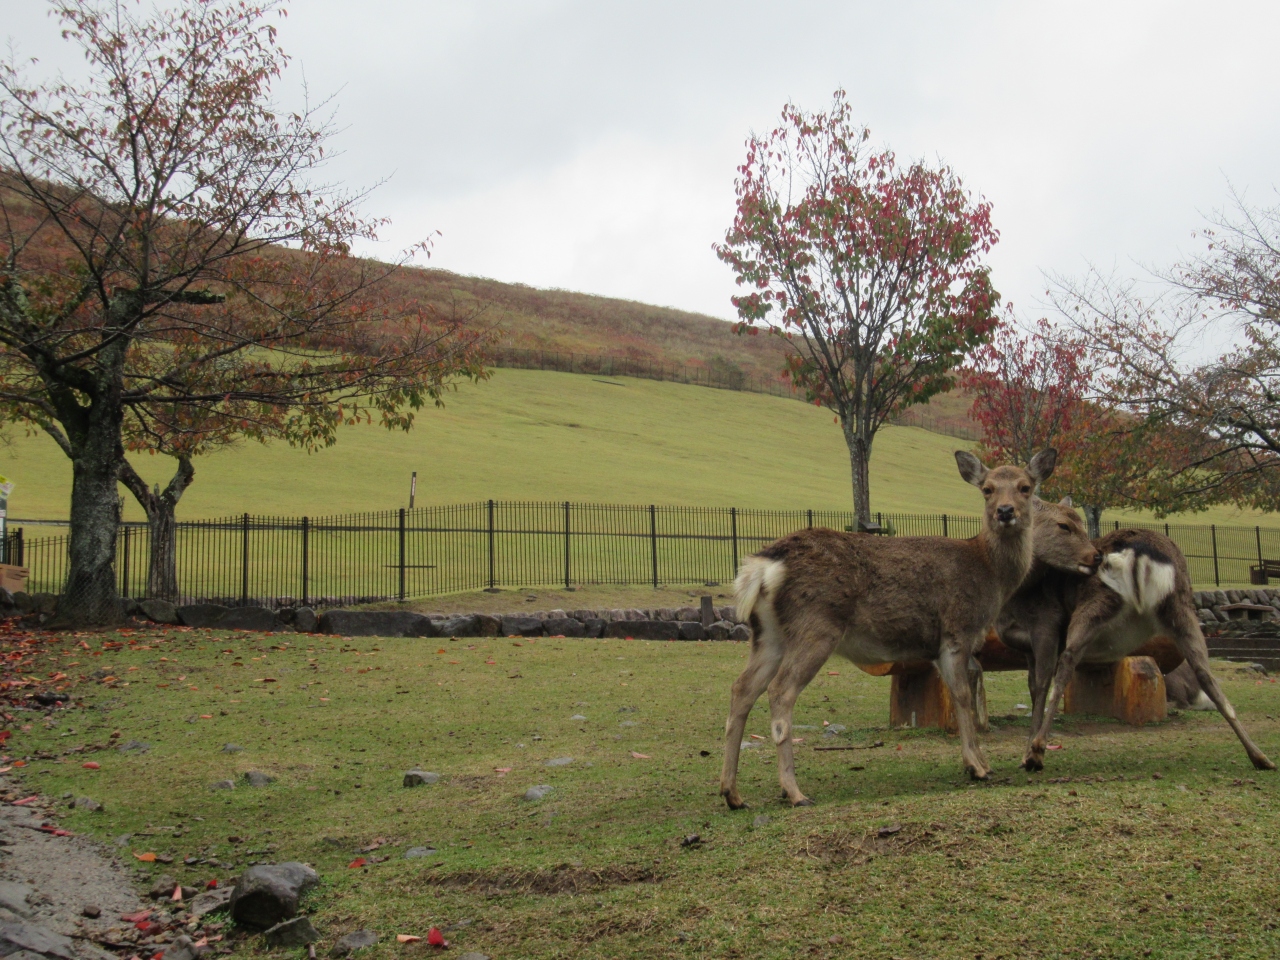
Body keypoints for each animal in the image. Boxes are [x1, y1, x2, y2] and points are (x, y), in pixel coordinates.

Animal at [720, 448, 1101, 809]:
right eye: (988, 489)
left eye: (1025, 486)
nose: (1005, 511)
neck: (989, 576)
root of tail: (763, 564)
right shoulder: (957, 629)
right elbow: (962, 695)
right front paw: (979, 767)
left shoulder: (936, 646)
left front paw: (977, 762)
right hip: (816, 626)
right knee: (780, 691)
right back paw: (795, 792)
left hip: (767, 634)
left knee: (741, 688)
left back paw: (732, 793)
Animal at [1012, 527, 1275, 773]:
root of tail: (1138, 554)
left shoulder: (1040, 633)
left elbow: (1038, 684)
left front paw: (1027, 752)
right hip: (1180, 609)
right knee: (1206, 675)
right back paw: (1261, 758)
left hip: (1096, 603)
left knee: (1067, 661)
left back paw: (1036, 752)